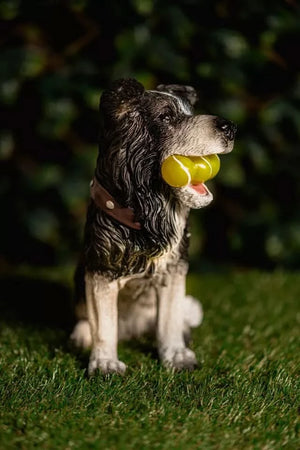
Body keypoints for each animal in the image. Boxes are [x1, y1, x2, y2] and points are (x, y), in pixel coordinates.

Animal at [71, 79, 237, 374]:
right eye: (167, 117)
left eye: (190, 111)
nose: (230, 127)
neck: (149, 214)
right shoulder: (101, 271)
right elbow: (103, 325)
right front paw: (104, 363)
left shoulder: (173, 271)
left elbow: (169, 321)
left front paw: (177, 356)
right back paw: (81, 335)